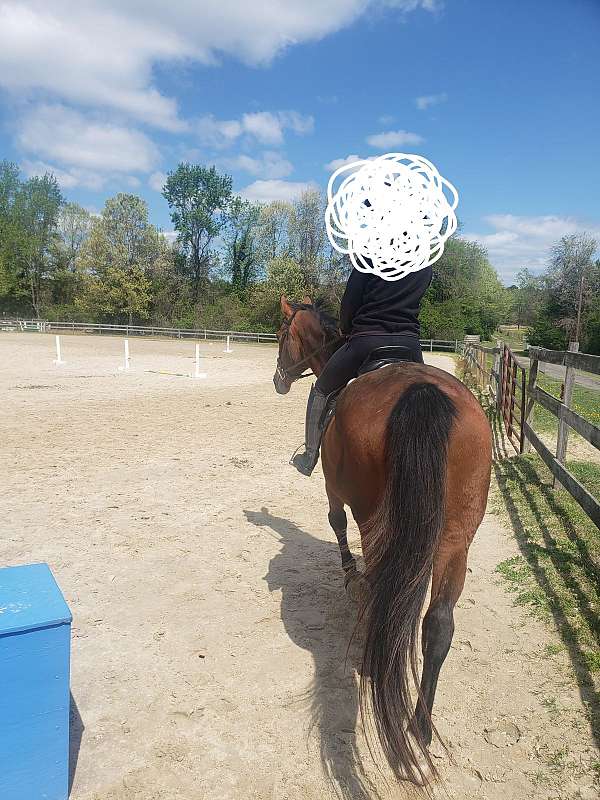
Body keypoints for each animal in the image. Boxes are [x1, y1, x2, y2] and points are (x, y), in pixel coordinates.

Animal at [273, 294, 492, 785]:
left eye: (281, 335)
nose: (278, 380)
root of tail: (422, 393)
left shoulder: (334, 488)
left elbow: (335, 521)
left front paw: (348, 575)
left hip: (376, 523)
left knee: (383, 595)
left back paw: (376, 664)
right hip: (455, 539)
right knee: (438, 623)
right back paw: (420, 727)